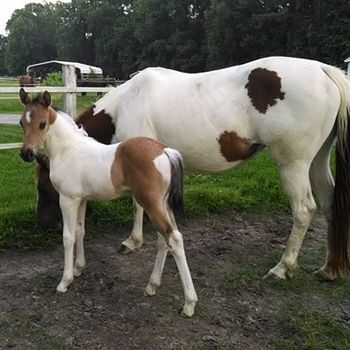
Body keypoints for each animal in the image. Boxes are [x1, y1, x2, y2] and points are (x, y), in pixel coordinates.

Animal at [19, 89, 198, 318]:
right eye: (22, 122)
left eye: (42, 124)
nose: (26, 153)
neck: (68, 149)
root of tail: (166, 151)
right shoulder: (82, 199)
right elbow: (80, 232)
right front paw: (78, 268)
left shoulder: (68, 199)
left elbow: (68, 237)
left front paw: (64, 281)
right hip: (162, 205)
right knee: (164, 240)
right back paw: (152, 285)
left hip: (152, 204)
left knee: (174, 239)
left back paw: (189, 304)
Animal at [35, 56, 350, 282]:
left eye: (43, 185)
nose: (44, 223)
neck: (126, 103)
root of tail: (322, 69)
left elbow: (137, 205)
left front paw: (132, 241)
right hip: (317, 160)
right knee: (329, 203)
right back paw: (328, 269)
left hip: (293, 163)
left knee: (304, 209)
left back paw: (283, 267)